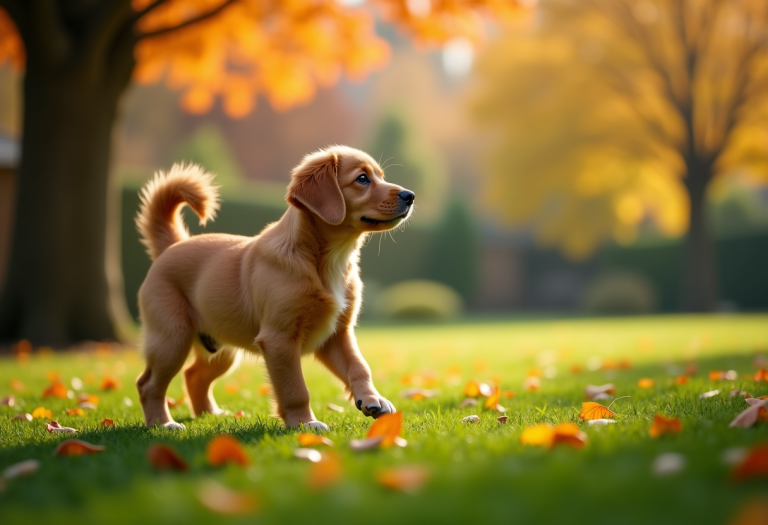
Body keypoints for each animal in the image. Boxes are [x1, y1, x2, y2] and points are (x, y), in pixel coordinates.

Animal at [135, 145, 416, 428]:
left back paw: (210, 414)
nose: (410, 195)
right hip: (172, 337)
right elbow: (295, 388)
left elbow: (359, 366)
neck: (326, 261)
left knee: (194, 374)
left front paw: (373, 399)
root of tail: (172, 246)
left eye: (380, 176)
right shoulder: (279, 339)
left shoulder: (338, 334)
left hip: (221, 347)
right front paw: (305, 423)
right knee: (148, 384)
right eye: (362, 179)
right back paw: (164, 424)